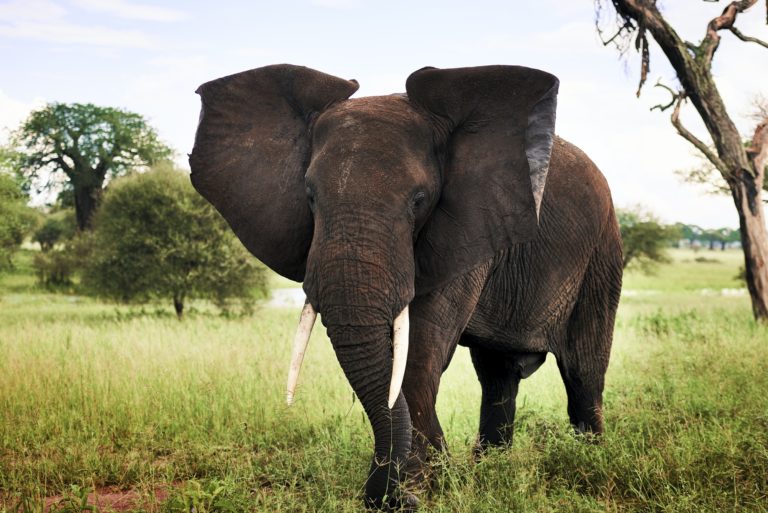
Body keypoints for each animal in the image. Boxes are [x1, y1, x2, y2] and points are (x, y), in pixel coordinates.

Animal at [189, 64, 622, 510]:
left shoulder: (469, 223)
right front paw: (424, 487)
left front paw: (417, 491)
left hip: (602, 252)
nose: (388, 496)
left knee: (584, 371)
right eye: (309, 196)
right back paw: (489, 469)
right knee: (497, 376)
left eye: (419, 199)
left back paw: (588, 461)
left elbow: (419, 353)